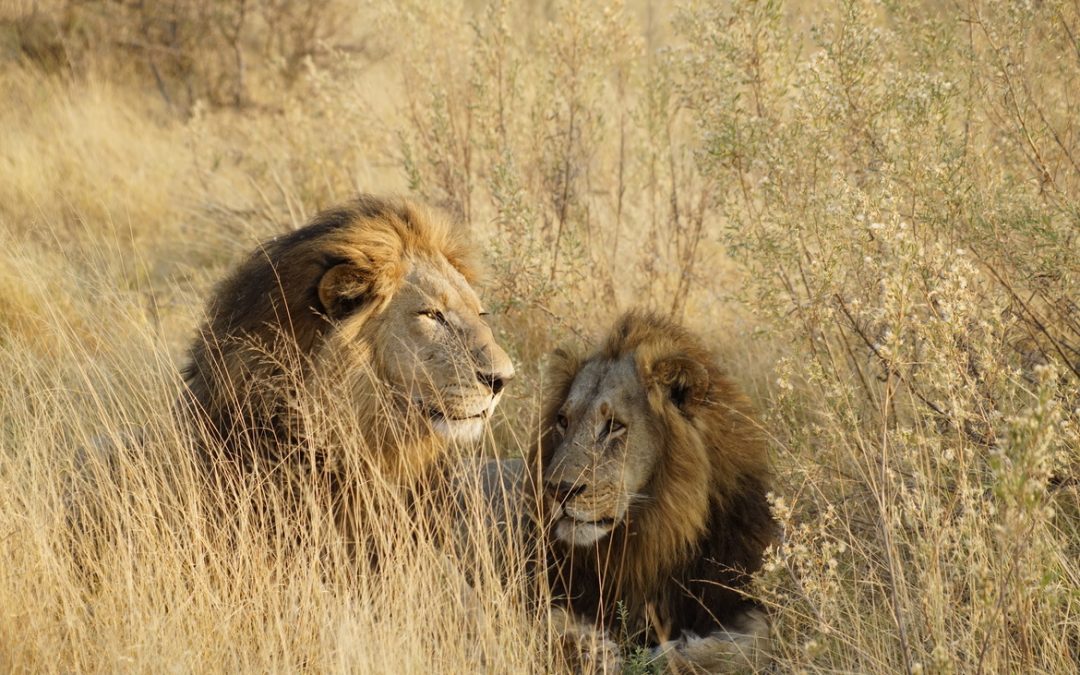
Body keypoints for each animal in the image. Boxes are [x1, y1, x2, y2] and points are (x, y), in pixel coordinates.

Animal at [528, 310, 776, 672]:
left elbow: (758, 641)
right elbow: (549, 626)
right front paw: (598, 653)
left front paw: (665, 655)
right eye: (563, 420)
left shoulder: (740, 593)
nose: (558, 490)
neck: (655, 533)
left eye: (614, 426)